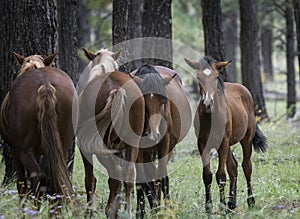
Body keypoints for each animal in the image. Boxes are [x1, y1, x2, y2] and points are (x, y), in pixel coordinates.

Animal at [0, 52, 77, 204]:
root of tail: (45, 83)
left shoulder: (16, 151)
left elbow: (21, 183)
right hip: (62, 147)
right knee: (57, 178)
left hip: (23, 149)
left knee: (38, 177)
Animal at [76, 47, 144, 216]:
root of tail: (117, 90)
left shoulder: (84, 148)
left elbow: (90, 180)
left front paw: (89, 212)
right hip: (132, 143)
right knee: (128, 175)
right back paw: (126, 212)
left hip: (101, 146)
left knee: (116, 174)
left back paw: (110, 210)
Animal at [129, 64, 191, 217]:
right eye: (143, 102)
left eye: (163, 102)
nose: (153, 135)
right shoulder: (138, 149)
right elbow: (143, 181)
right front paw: (147, 210)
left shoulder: (164, 144)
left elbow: (162, 178)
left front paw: (165, 209)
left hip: (169, 147)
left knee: (159, 176)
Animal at [185, 56, 268, 212]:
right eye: (198, 77)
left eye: (216, 76)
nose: (207, 103)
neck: (210, 117)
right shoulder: (202, 144)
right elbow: (207, 175)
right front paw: (209, 207)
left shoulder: (223, 142)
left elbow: (221, 175)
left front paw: (222, 206)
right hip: (228, 144)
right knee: (233, 167)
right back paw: (232, 202)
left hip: (246, 139)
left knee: (246, 166)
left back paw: (250, 201)